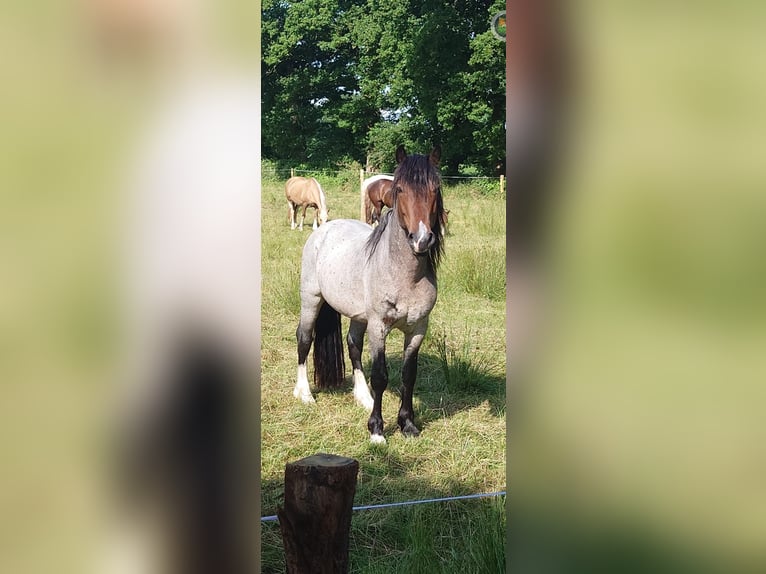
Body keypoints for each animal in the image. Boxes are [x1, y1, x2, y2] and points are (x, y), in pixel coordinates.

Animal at [294, 144, 450, 446]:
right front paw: (377, 431)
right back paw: (303, 394)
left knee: (353, 345)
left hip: (358, 315)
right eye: (399, 189)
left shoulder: (418, 329)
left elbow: (408, 375)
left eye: (436, 188)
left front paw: (408, 424)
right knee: (304, 339)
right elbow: (381, 376)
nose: (422, 239)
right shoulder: (379, 327)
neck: (404, 275)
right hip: (311, 300)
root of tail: (324, 228)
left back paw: (363, 397)